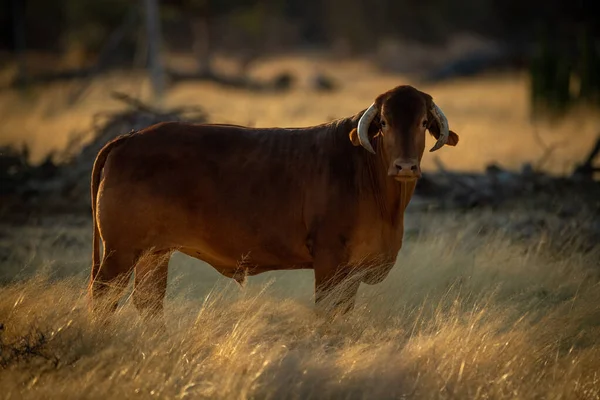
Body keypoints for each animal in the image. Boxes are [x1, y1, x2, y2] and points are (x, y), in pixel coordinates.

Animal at [88, 84, 460, 318]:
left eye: (423, 123)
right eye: (384, 122)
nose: (405, 166)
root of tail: (130, 139)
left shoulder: (353, 272)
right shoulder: (330, 263)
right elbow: (328, 316)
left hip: (154, 253)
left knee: (148, 302)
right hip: (120, 253)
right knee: (103, 299)